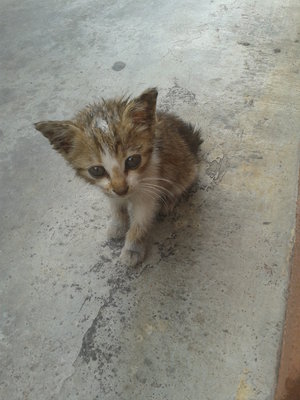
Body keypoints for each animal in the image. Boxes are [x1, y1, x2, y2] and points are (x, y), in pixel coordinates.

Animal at [35, 89, 204, 268]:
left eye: (133, 160)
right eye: (96, 170)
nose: (122, 189)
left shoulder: (149, 190)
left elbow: (140, 223)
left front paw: (133, 248)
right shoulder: (109, 191)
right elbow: (116, 207)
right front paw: (118, 224)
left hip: (185, 169)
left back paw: (169, 201)